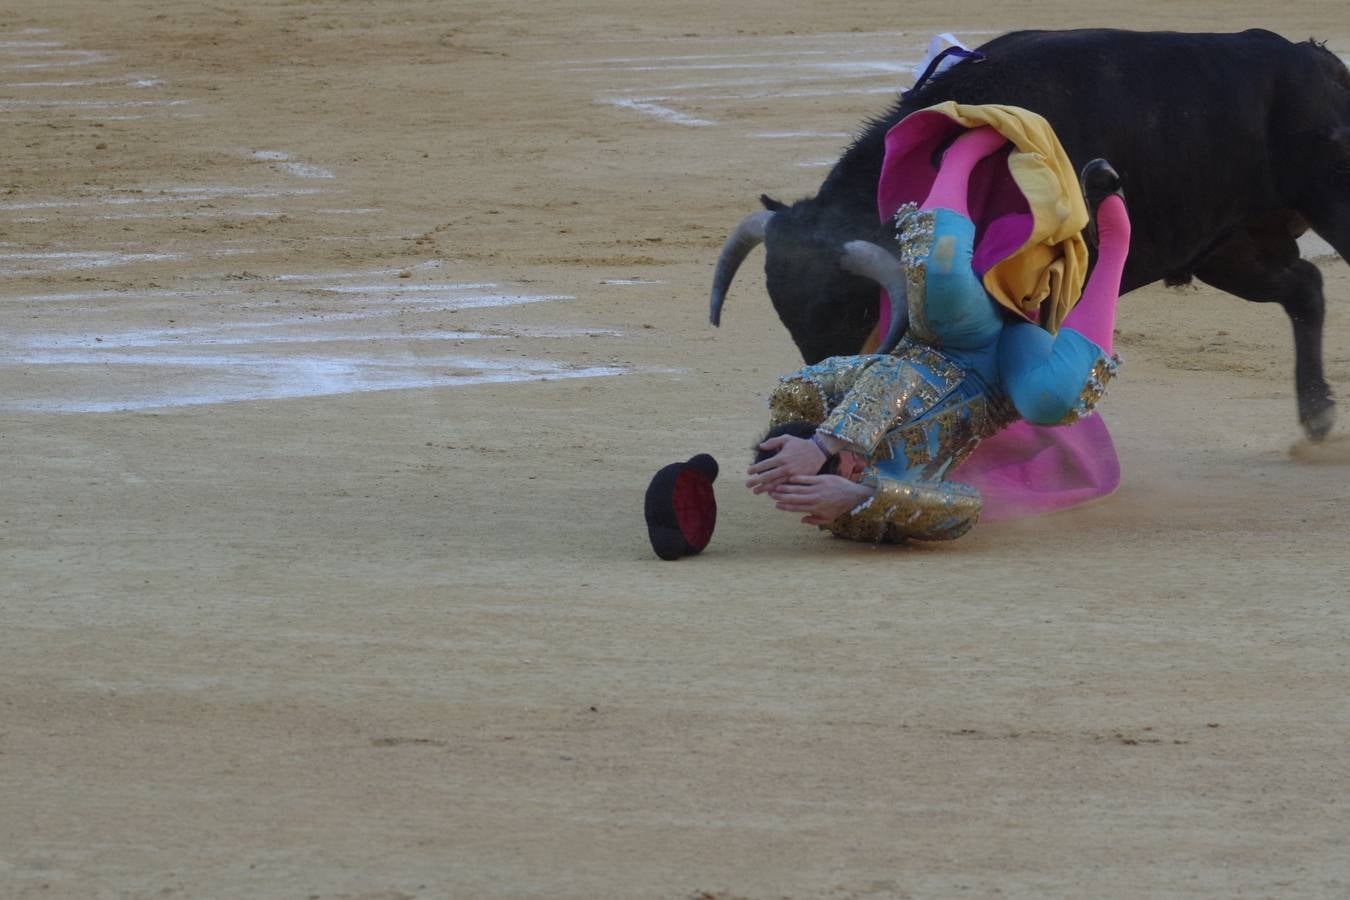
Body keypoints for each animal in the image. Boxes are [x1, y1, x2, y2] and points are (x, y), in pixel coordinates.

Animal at [707, 32, 1350, 442]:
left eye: (856, 311)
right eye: (791, 320)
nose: (813, 415)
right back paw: (1318, 413)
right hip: (1230, 249)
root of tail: (1319, 61)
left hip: (1329, 208)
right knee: (1305, 288)